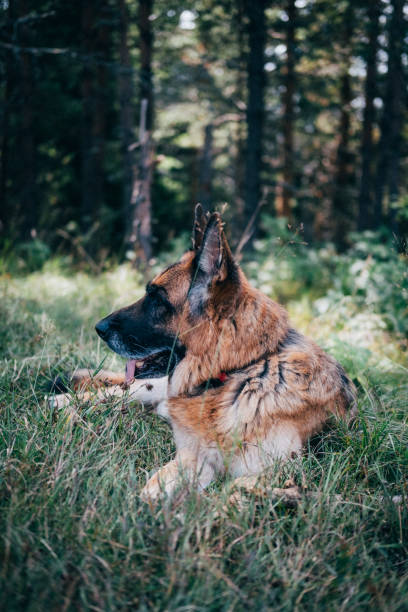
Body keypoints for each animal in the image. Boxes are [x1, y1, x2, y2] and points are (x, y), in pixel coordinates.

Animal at [51, 206, 356, 502]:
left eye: (157, 299)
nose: (98, 328)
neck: (241, 371)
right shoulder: (193, 457)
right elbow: (153, 486)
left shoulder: (280, 468)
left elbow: (233, 491)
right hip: (151, 388)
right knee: (122, 393)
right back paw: (62, 401)